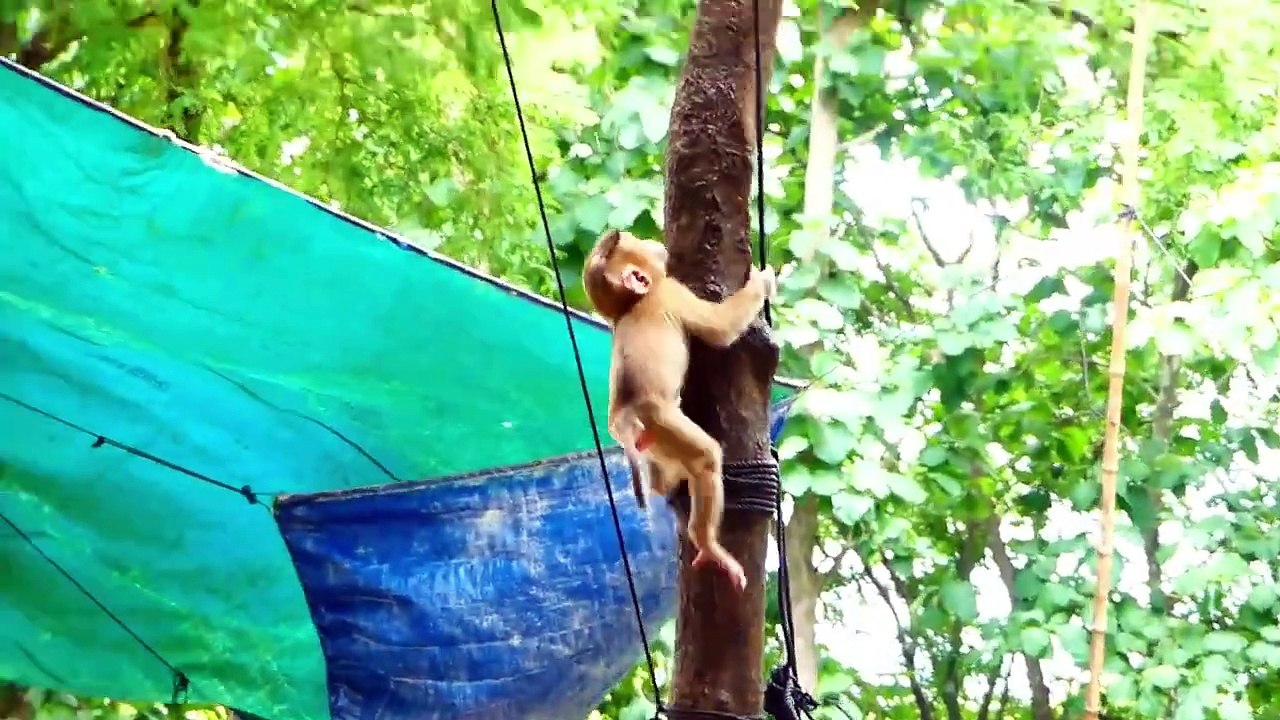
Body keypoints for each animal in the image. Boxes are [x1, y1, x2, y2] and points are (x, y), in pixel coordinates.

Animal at [582, 228, 776, 591]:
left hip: (653, 437)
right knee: (705, 458)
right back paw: (708, 544)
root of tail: (623, 417)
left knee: (664, 477)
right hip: (662, 422)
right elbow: (720, 329)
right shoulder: (672, 292)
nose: (652, 243)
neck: (631, 305)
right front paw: (762, 279)